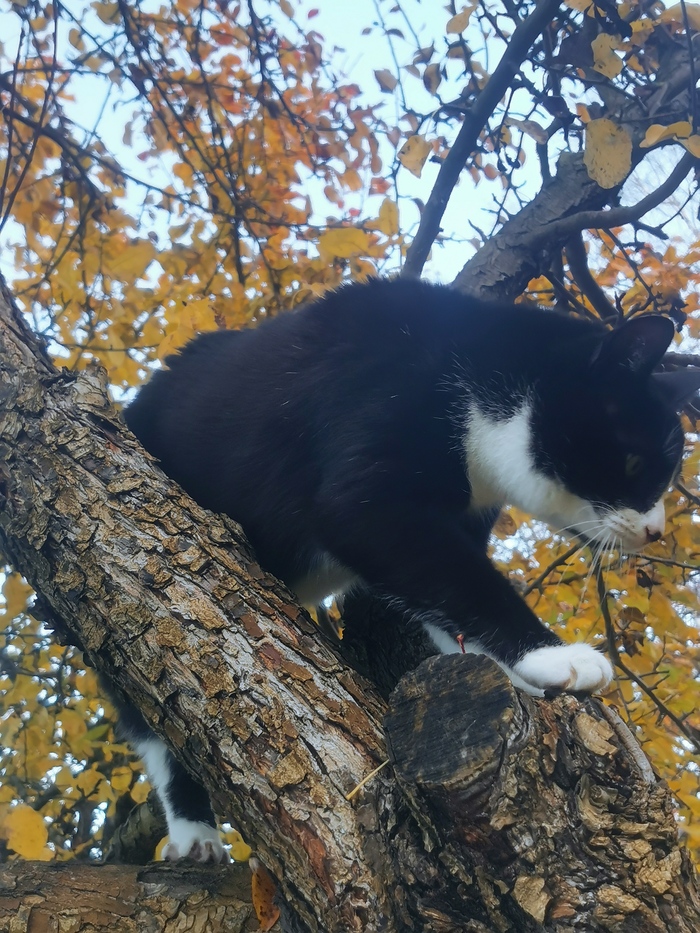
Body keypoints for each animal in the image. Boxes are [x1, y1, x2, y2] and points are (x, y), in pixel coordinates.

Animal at [118, 277, 700, 861]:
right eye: (634, 463)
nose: (655, 530)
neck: (477, 389)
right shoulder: (370, 485)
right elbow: (469, 581)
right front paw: (553, 655)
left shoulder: (461, 519)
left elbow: (448, 602)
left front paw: (512, 670)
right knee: (148, 716)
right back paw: (194, 830)